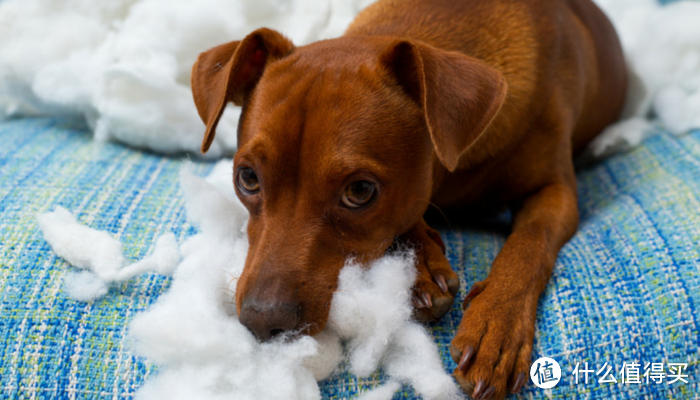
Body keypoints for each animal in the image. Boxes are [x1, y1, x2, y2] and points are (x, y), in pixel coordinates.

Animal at [190, 0, 624, 396]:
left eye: (360, 191)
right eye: (247, 178)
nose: (263, 321)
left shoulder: (556, 191)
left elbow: (529, 243)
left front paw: (497, 324)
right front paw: (420, 267)